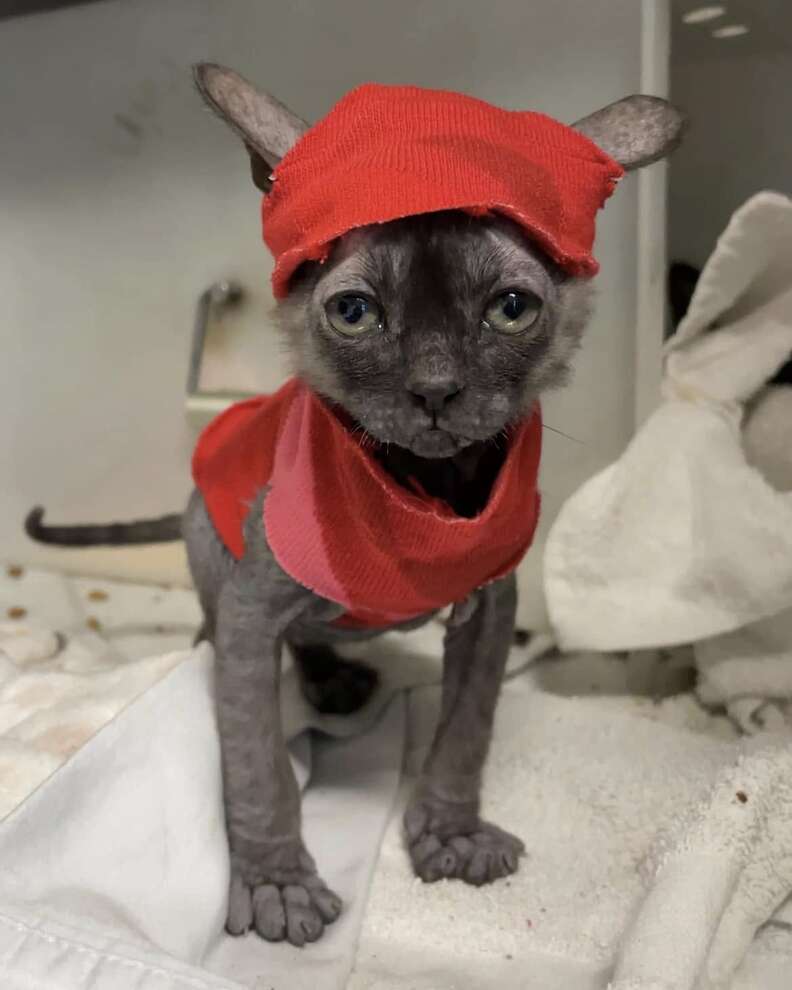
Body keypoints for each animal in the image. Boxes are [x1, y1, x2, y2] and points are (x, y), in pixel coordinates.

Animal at [26, 66, 688, 948]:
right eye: (354, 312)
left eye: (511, 307)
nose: (436, 390)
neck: (421, 490)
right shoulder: (254, 607)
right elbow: (256, 759)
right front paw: (276, 881)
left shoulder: (492, 601)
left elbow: (467, 729)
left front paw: (451, 830)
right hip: (211, 535)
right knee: (233, 628)